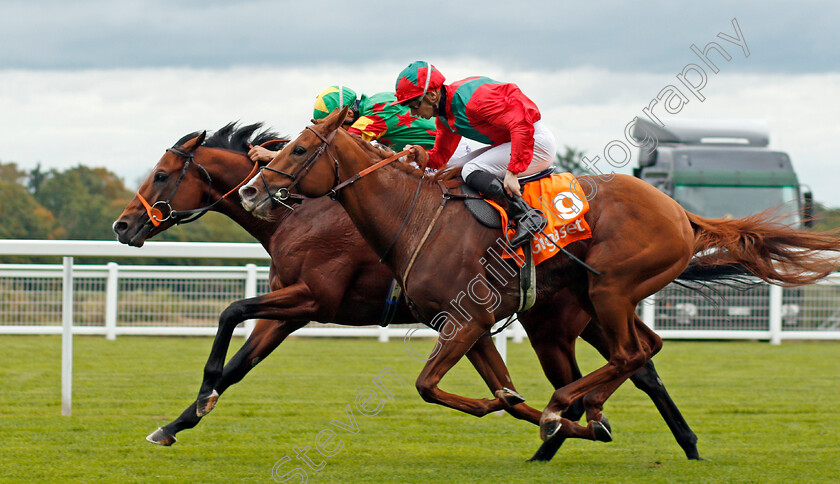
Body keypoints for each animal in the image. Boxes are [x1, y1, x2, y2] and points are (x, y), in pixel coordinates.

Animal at [111, 121, 704, 458]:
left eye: (161, 175)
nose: (122, 225)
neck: (304, 214)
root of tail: (679, 213)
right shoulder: (293, 310)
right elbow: (239, 364)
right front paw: (176, 423)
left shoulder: (313, 297)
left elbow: (231, 311)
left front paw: (198, 397)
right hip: (581, 314)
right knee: (641, 361)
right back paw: (671, 438)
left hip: (578, 313)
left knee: (626, 361)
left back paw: (586, 424)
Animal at [238, 108, 840, 460]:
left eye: (298, 150)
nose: (250, 190)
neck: (415, 215)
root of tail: (679, 213)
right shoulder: (466, 325)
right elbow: (494, 391)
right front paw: (531, 412)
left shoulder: (465, 321)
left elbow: (430, 386)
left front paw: (545, 416)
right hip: (596, 304)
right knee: (643, 351)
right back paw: (590, 419)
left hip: (609, 291)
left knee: (628, 355)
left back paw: (569, 409)